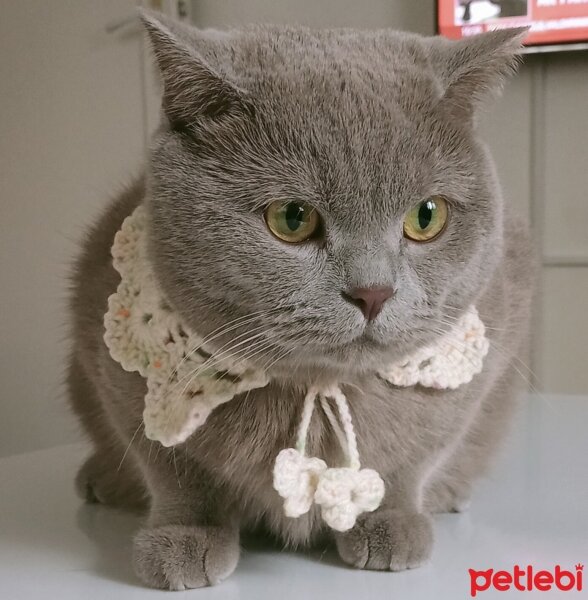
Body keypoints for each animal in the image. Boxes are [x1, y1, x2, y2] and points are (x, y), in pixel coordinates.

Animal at [66, 11, 536, 592]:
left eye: (426, 216)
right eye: (292, 218)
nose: (373, 292)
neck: (319, 384)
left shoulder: (484, 364)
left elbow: (415, 456)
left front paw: (392, 522)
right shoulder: (109, 365)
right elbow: (172, 465)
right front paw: (186, 537)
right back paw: (101, 480)